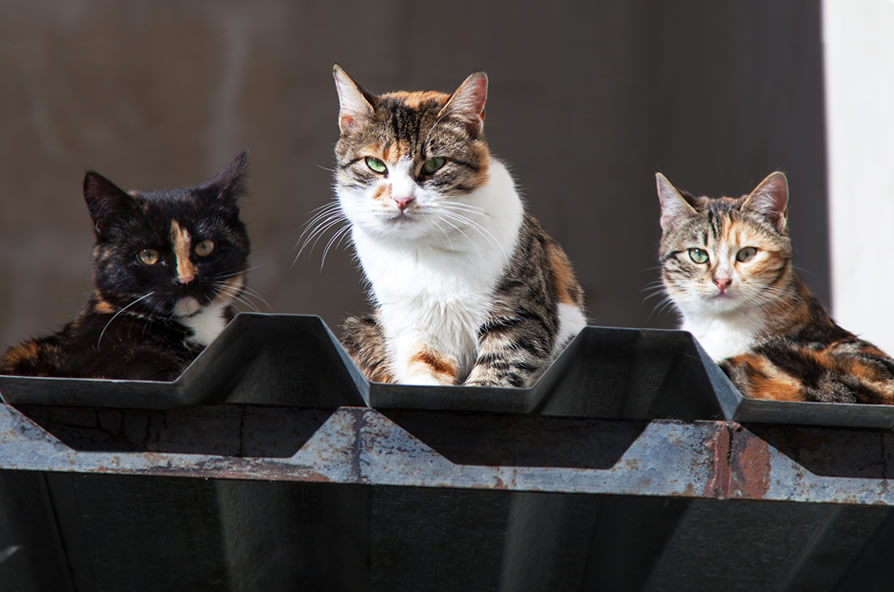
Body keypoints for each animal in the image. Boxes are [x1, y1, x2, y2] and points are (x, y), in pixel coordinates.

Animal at [328, 66, 588, 388]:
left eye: (434, 164)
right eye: (375, 164)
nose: (402, 199)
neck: (425, 252)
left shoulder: (521, 317)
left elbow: (495, 374)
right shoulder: (416, 328)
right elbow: (425, 370)